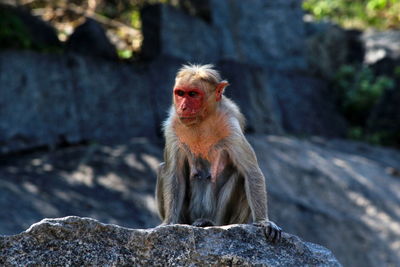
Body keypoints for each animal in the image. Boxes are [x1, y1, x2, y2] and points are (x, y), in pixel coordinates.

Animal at [155, 64, 282, 243]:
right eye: (180, 93)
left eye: (193, 94)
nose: (183, 107)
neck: (201, 120)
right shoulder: (172, 127)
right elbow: (174, 173)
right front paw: (169, 223)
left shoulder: (231, 126)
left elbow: (251, 172)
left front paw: (264, 222)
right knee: (162, 168)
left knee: (240, 176)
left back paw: (211, 222)